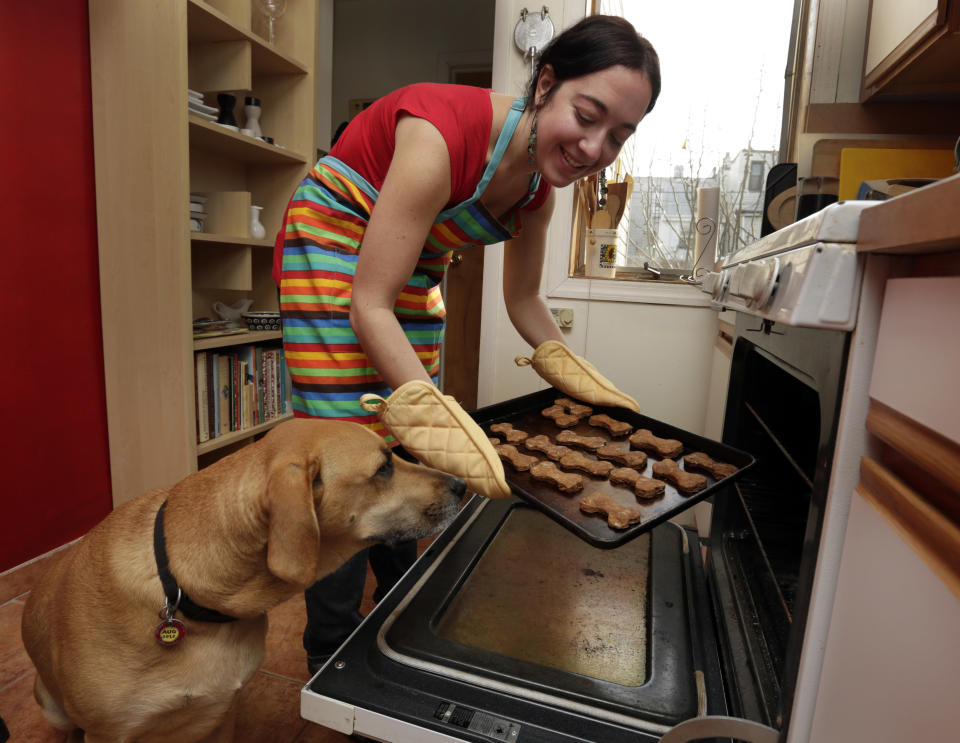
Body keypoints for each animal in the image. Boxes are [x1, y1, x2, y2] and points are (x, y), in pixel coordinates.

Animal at [24, 422, 466, 740]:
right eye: (383, 468)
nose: (462, 485)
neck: (183, 592)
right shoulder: (108, 733)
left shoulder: (223, 715)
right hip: (52, 705)